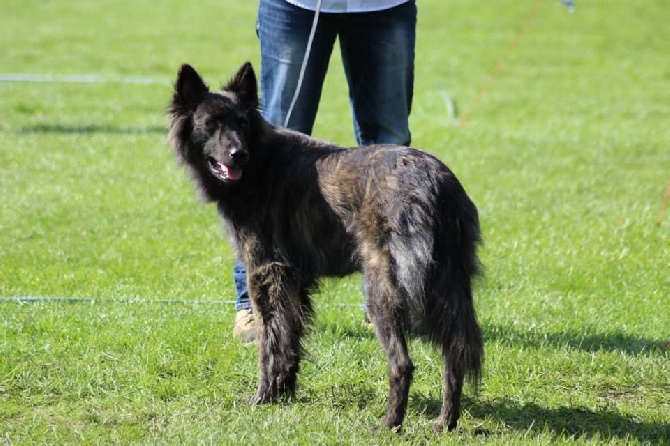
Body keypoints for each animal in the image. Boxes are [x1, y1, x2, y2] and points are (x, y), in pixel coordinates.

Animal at [167, 61, 484, 432]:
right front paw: (284, 393)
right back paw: (445, 422)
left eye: (242, 122)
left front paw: (263, 397)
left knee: (403, 364)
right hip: (445, 287)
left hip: (382, 291)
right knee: (454, 354)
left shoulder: (264, 274)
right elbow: (290, 338)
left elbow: (269, 341)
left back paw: (389, 424)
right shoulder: (293, 282)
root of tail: (434, 182)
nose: (238, 154)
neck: (260, 161)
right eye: (211, 124)